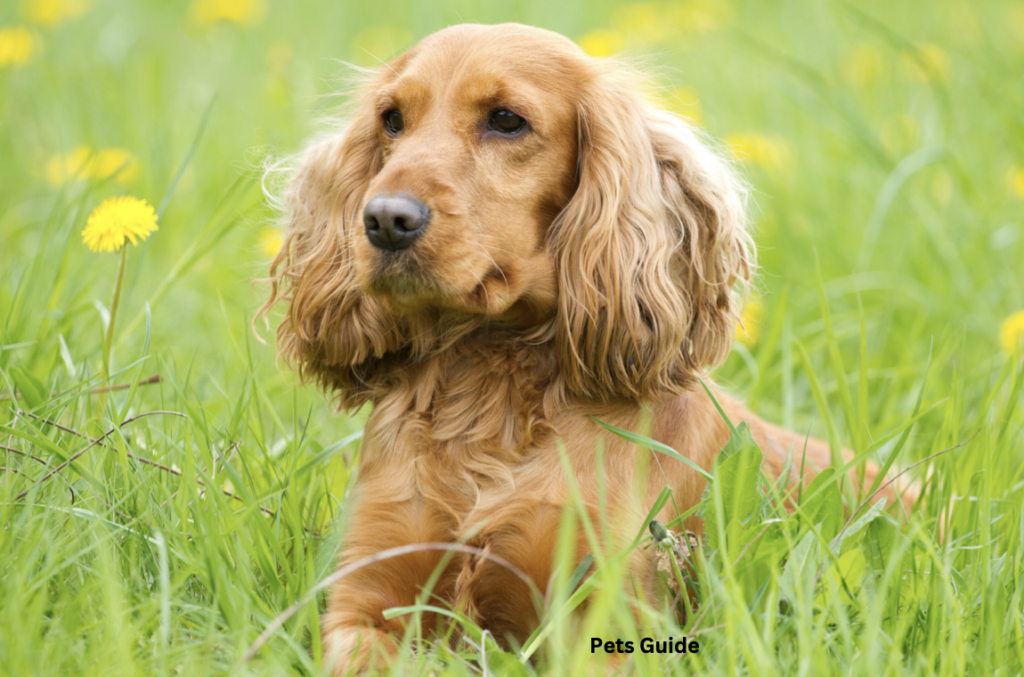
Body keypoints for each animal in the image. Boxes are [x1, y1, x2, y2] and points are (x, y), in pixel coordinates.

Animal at [258, 21, 913, 671]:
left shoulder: (608, 622)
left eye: (506, 120)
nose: (385, 220)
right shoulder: (365, 602)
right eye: (391, 119)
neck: (489, 383)